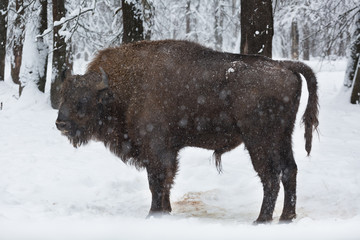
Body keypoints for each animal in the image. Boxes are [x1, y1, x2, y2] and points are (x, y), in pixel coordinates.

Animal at [55, 39, 318, 223]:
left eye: (83, 100)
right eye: (64, 96)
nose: (61, 124)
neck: (123, 88)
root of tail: (283, 65)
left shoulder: (156, 149)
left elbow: (157, 181)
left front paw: (153, 214)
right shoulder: (169, 150)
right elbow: (167, 181)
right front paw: (165, 211)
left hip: (259, 140)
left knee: (271, 176)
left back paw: (261, 220)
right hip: (283, 137)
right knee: (289, 170)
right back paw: (286, 217)